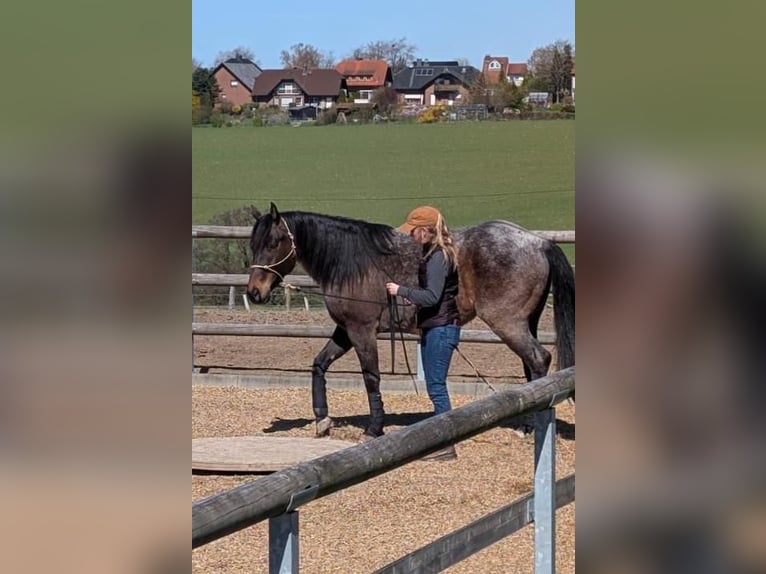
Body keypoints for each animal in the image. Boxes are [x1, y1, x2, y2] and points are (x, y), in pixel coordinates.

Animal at [247, 203, 575, 439]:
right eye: (253, 244)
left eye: (274, 242)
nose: (254, 292)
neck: (351, 263)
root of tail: (537, 242)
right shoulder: (345, 330)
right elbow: (319, 364)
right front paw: (322, 419)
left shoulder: (361, 330)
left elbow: (371, 377)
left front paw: (374, 428)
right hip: (526, 323)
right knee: (531, 364)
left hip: (508, 323)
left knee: (539, 358)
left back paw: (530, 424)